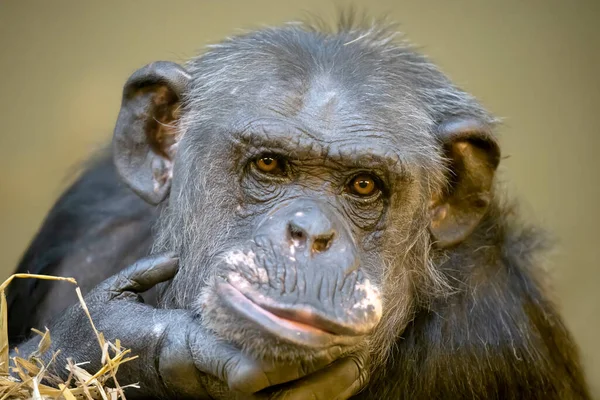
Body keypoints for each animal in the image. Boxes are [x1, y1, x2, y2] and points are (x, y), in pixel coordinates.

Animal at [8, 14, 592, 400]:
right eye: (269, 164)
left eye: (363, 185)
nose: (310, 233)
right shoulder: (84, 220)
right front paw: (114, 337)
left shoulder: (497, 332)